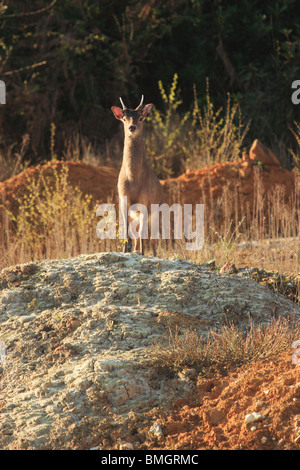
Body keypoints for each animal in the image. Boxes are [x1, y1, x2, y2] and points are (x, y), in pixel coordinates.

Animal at [111, 96, 164, 258]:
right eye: (124, 119)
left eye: (140, 118)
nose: (132, 127)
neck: (133, 179)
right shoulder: (123, 199)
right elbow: (125, 231)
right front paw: (124, 251)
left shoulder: (145, 200)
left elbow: (143, 233)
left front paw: (142, 253)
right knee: (136, 235)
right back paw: (136, 250)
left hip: (156, 210)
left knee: (153, 237)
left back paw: (150, 254)